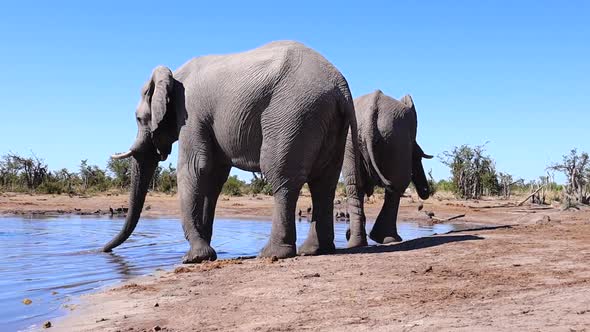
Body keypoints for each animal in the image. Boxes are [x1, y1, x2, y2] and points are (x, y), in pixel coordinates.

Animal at [104, 41, 368, 264]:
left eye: (139, 119)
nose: (102, 250)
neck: (173, 75)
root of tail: (341, 88)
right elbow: (213, 176)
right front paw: (207, 253)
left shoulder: (191, 113)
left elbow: (194, 168)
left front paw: (194, 258)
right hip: (329, 121)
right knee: (324, 183)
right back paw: (314, 250)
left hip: (293, 113)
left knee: (281, 176)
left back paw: (272, 254)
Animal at [342, 89, 434, 248]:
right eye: (417, 156)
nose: (425, 192)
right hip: (396, 139)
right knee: (397, 186)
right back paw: (390, 239)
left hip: (352, 142)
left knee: (354, 185)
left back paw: (356, 242)